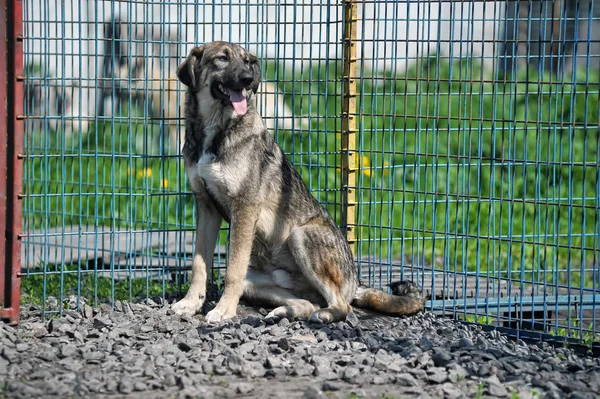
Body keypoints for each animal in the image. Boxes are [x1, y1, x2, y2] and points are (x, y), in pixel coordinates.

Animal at [169, 40, 424, 324]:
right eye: (222, 58)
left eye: (247, 62)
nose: (248, 80)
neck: (215, 130)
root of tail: (356, 283)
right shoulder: (206, 205)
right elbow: (199, 265)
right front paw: (190, 304)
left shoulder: (244, 207)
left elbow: (232, 270)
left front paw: (224, 311)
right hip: (256, 281)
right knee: (307, 302)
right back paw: (283, 312)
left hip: (300, 235)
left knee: (342, 306)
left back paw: (323, 315)